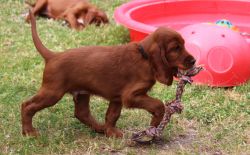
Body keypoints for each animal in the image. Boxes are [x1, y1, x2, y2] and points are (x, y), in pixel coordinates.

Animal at [21, 11, 196, 138]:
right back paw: (29, 131)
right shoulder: (130, 96)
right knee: (27, 105)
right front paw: (154, 124)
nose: (194, 61)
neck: (144, 57)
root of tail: (52, 56)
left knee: (81, 113)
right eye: (175, 48)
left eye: (184, 44)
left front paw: (111, 132)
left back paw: (100, 128)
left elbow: (112, 116)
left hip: (82, 93)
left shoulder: (117, 98)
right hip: (52, 93)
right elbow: (158, 104)